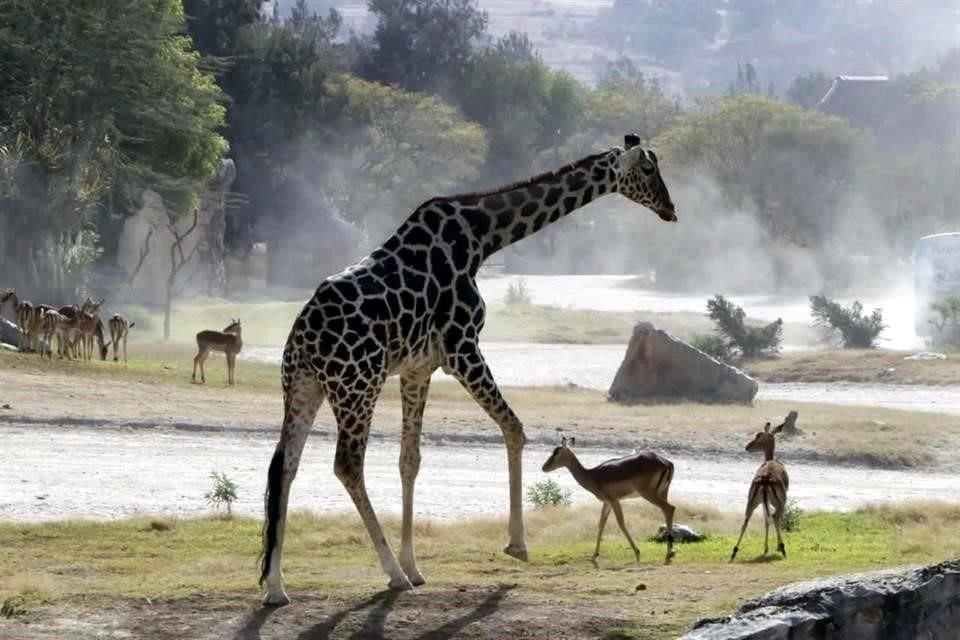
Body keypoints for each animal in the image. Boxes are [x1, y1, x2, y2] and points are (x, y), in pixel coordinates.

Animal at [540, 440, 676, 564]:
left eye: (557, 452)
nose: (544, 467)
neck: (592, 475)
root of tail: (667, 463)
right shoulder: (607, 503)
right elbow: (601, 524)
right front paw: (594, 556)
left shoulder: (614, 500)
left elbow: (621, 523)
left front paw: (637, 553)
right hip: (662, 493)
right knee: (667, 511)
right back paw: (670, 554)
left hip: (648, 494)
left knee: (669, 508)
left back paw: (668, 555)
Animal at [732, 422, 792, 564]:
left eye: (759, 436)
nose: (747, 447)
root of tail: (765, 479)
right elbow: (774, 520)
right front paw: (774, 547)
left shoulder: (765, 502)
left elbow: (765, 521)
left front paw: (765, 548)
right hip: (780, 503)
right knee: (775, 518)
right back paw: (783, 549)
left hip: (752, 502)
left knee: (746, 521)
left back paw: (734, 552)